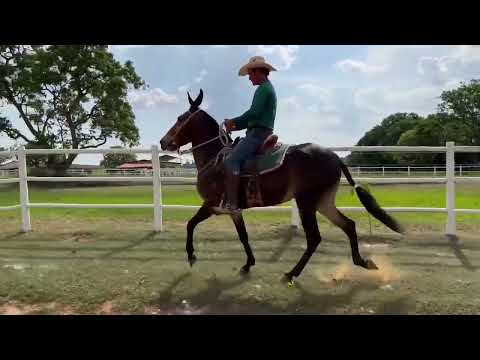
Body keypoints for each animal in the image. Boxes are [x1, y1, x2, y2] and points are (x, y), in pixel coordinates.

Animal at [159, 89, 404, 284]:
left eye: (181, 118)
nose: (163, 142)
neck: (215, 158)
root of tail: (334, 156)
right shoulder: (233, 211)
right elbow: (243, 236)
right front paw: (248, 264)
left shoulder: (211, 205)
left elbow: (191, 224)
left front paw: (191, 256)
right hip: (323, 203)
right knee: (349, 225)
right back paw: (363, 262)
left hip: (306, 203)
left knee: (314, 238)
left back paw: (291, 274)